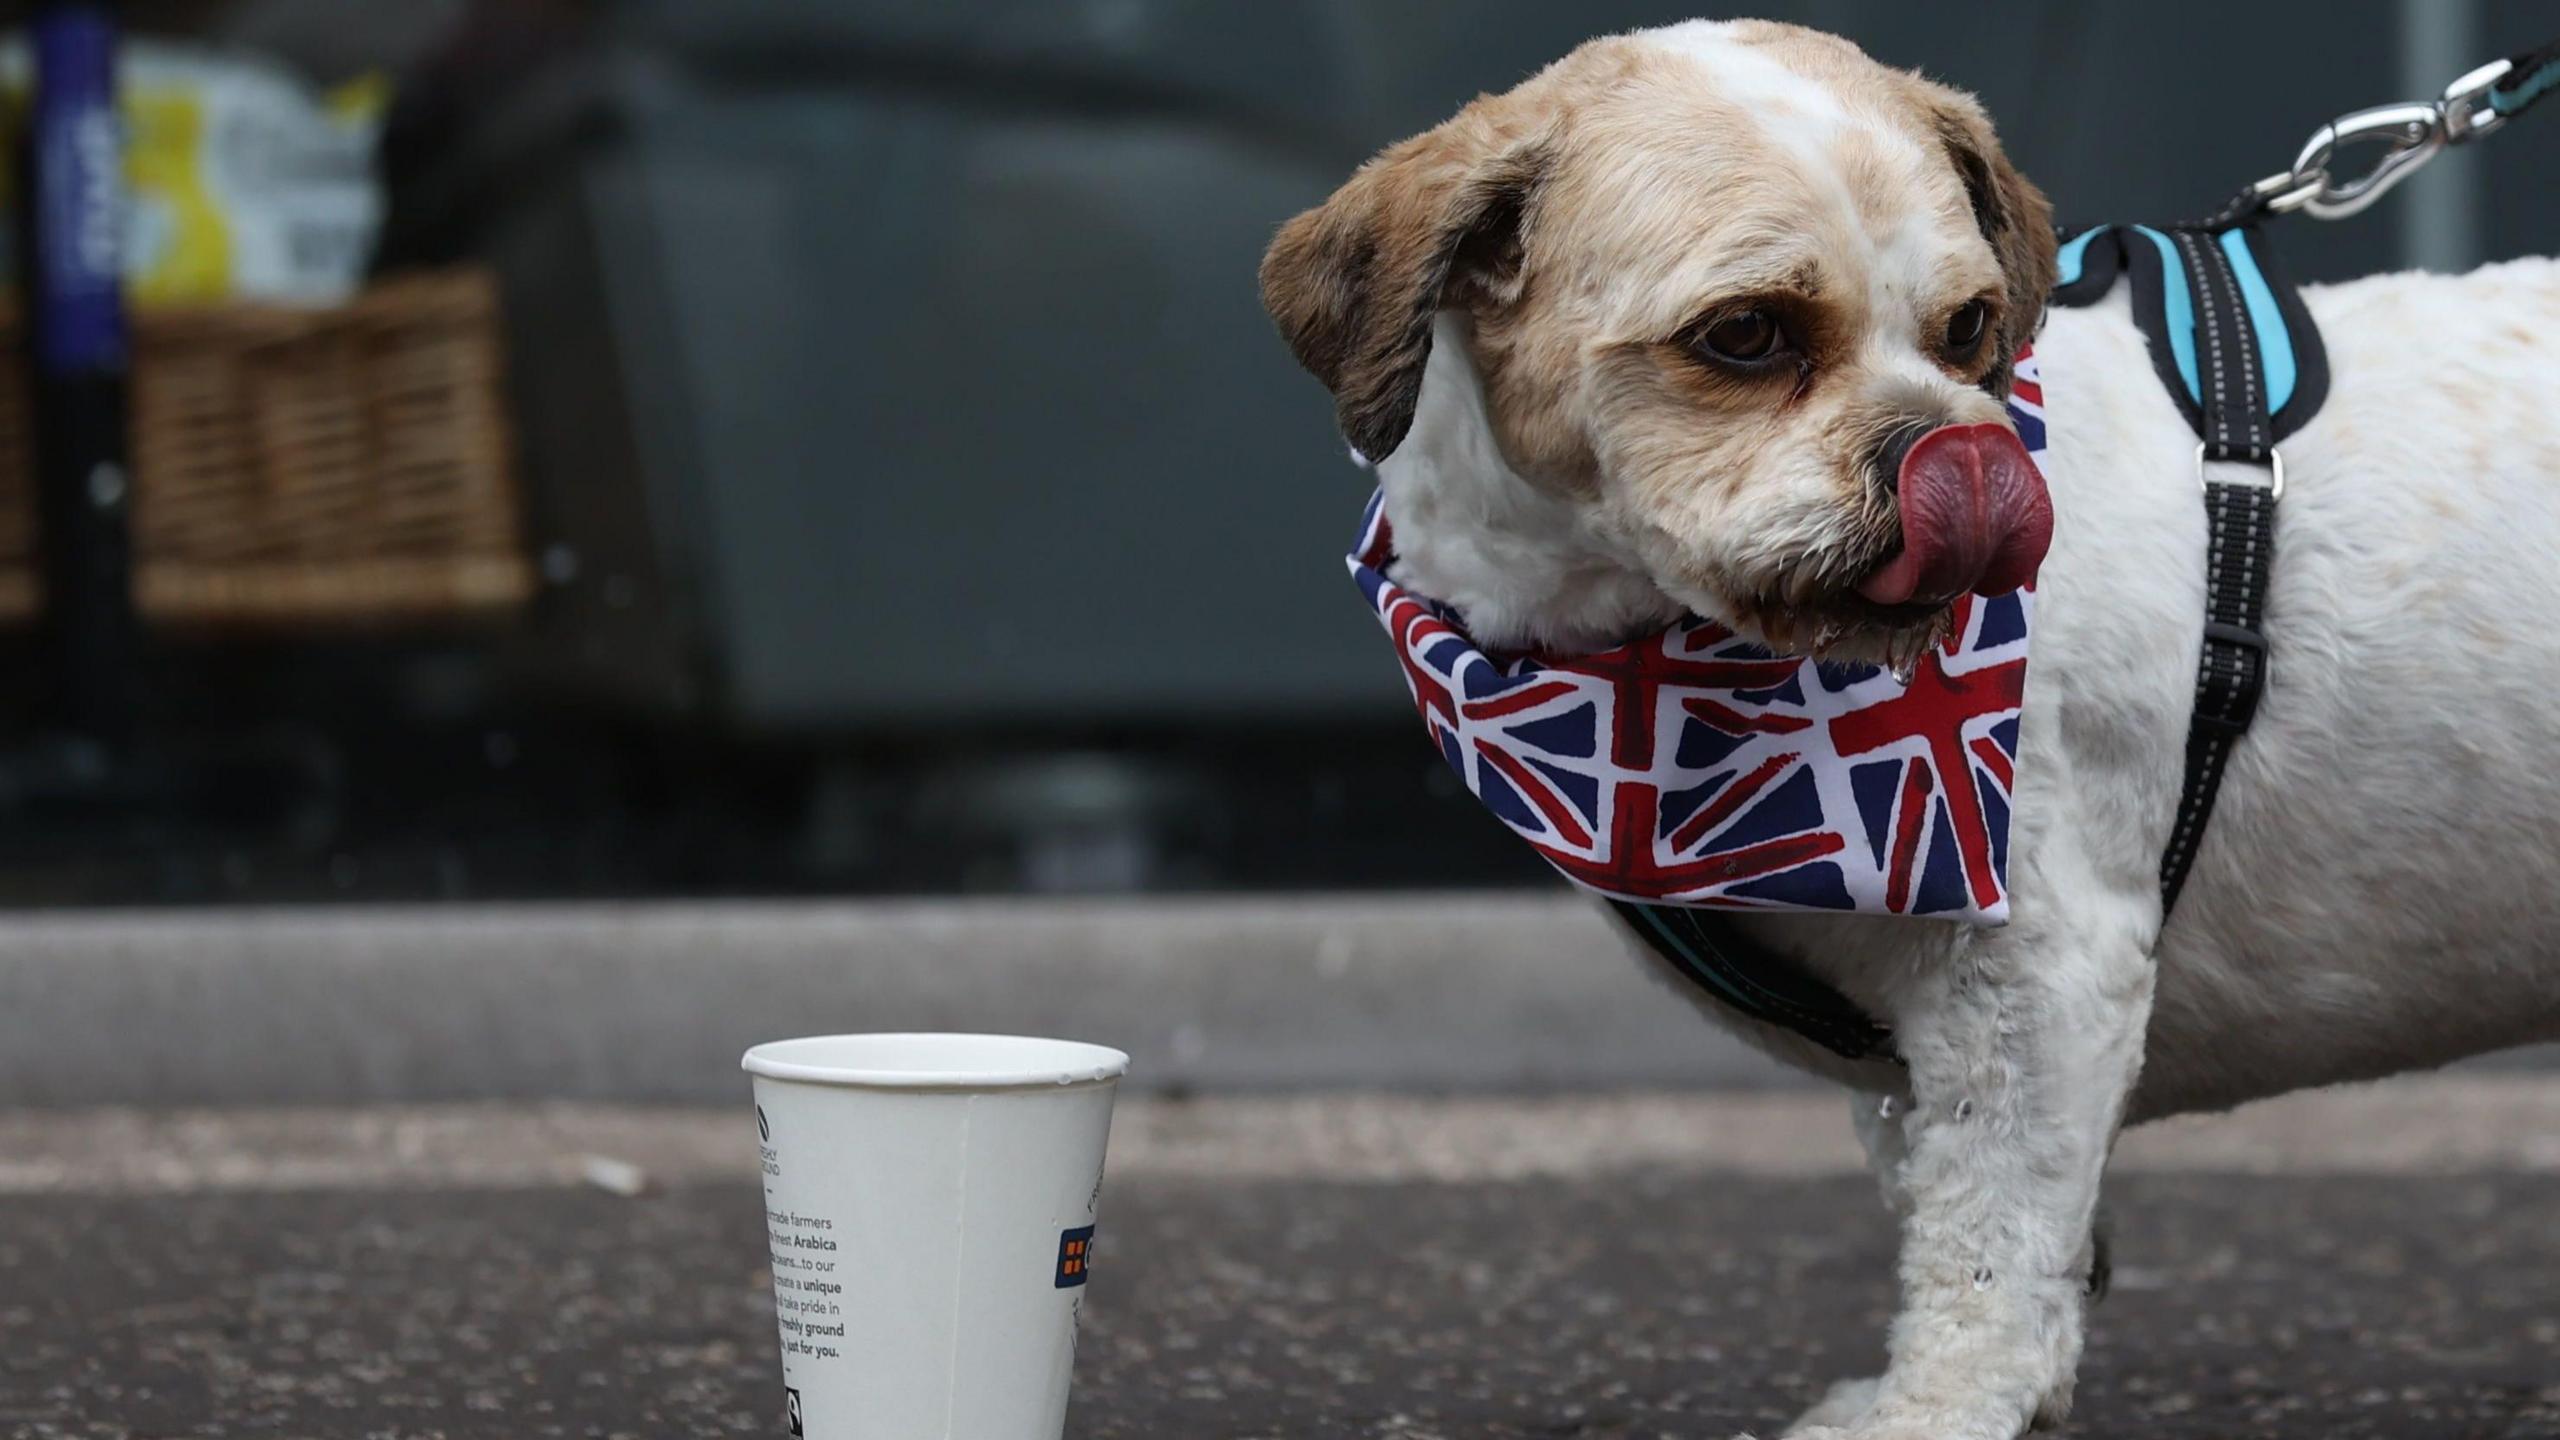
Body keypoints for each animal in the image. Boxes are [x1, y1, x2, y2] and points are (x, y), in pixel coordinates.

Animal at [1254, 22, 2560, 1434]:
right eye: (1745, 333)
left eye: (1969, 326)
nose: (1960, 459)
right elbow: (1962, 1188)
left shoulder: (2036, 963)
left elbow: (1990, 1225)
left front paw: (1941, 1404)